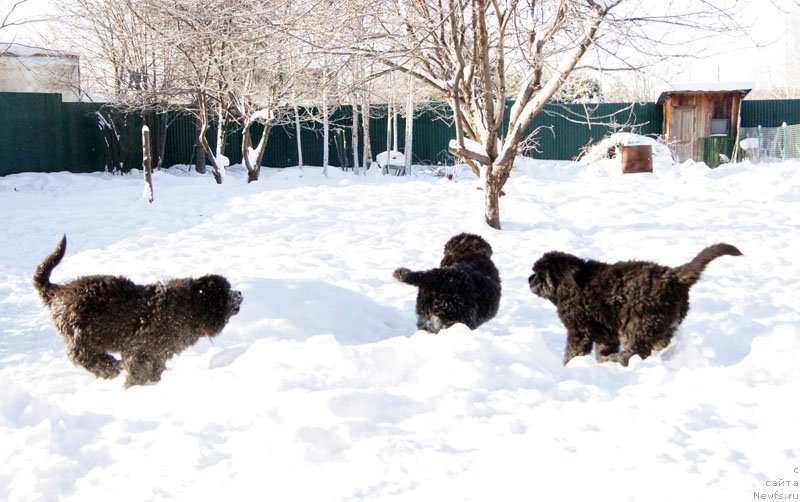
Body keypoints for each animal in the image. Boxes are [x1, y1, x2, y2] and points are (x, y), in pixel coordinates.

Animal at [32, 236, 244, 388]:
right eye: (225, 293)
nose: (240, 294)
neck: (189, 307)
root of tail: (57, 291)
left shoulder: (159, 354)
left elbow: (155, 370)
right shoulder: (139, 351)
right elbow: (138, 372)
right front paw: (133, 388)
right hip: (81, 333)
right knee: (78, 355)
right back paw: (109, 367)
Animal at [528, 243, 740, 364]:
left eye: (540, 274)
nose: (529, 279)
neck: (570, 284)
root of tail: (673, 276)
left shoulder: (579, 329)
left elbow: (573, 350)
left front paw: (569, 365)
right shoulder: (605, 332)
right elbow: (602, 350)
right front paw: (602, 361)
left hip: (637, 324)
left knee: (638, 350)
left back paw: (621, 360)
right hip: (664, 322)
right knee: (659, 343)